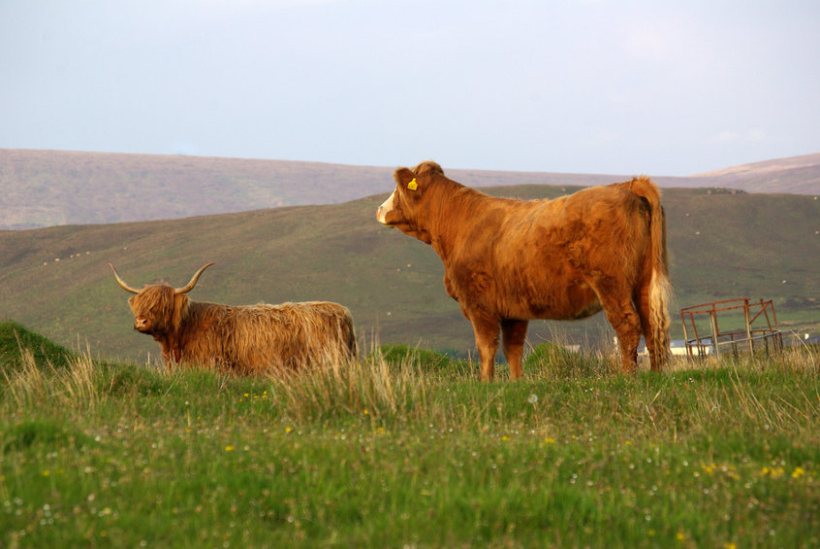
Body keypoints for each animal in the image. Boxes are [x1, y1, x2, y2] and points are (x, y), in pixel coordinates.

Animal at [374, 161, 668, 378]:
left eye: (397, 189)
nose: (379, 209)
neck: (459, 225)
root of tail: (626, 185)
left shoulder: (479, 304)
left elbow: (486, 347)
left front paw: (486, 382)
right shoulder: (513, 308)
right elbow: (513, 349)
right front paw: (516, 382)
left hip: (611, 284)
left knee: (628, 325)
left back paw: (628, 377)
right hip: (643, 283)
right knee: (651, 324)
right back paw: (655, 376)